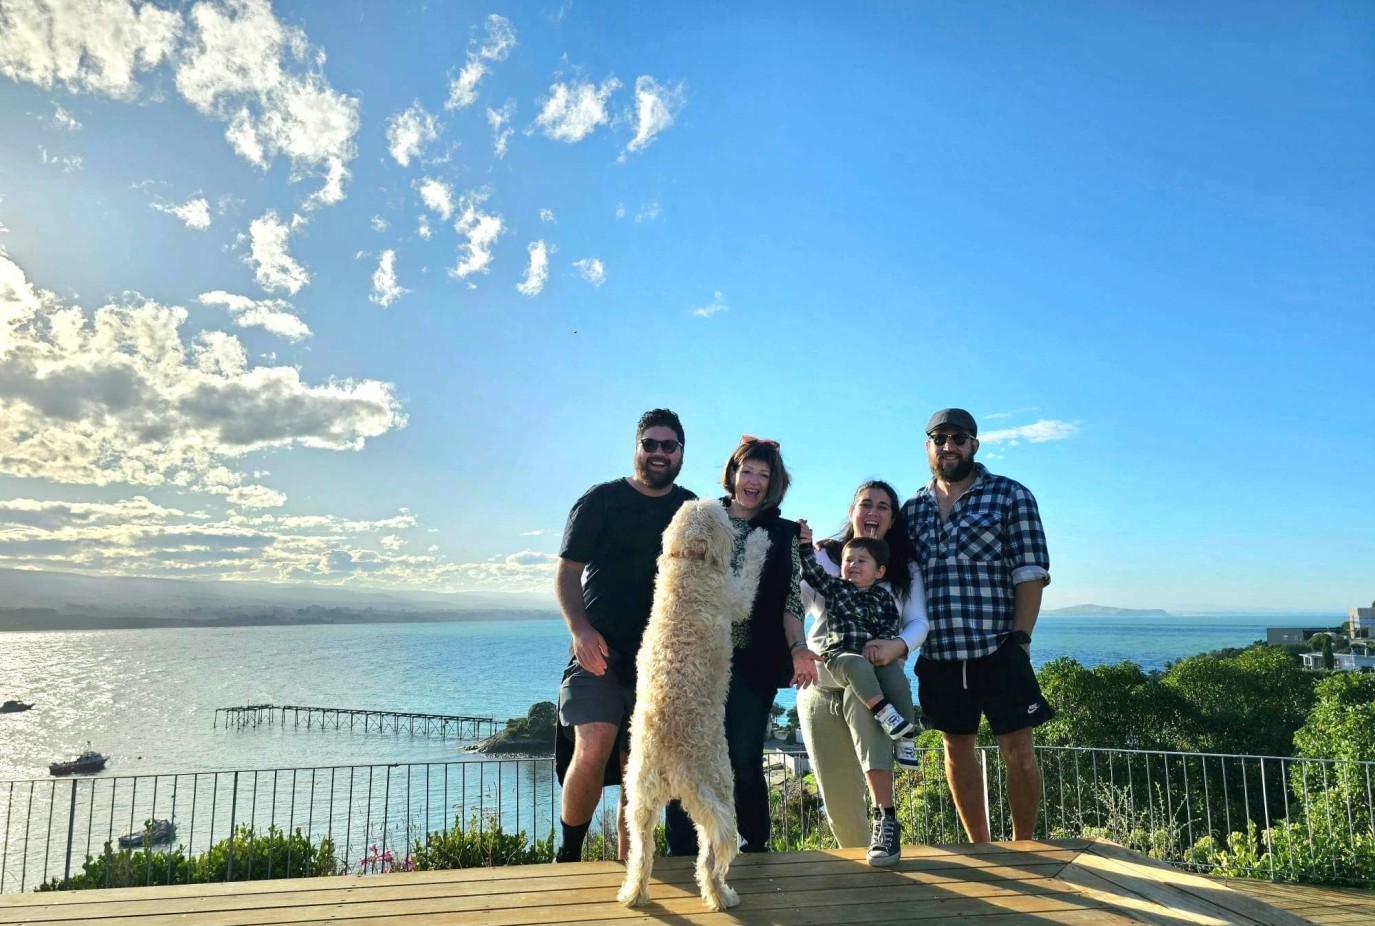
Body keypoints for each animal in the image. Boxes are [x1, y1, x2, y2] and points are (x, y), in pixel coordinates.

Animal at [618, 498, 770, 908]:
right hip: (719, 788)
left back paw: (633, 893)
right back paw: (721, 896)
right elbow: (750, 573)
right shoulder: (736, 596)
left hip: (639, 800)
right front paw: (759, 541)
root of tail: (674, 759)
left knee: (642, 853)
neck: (689, 561)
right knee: (710, 859)